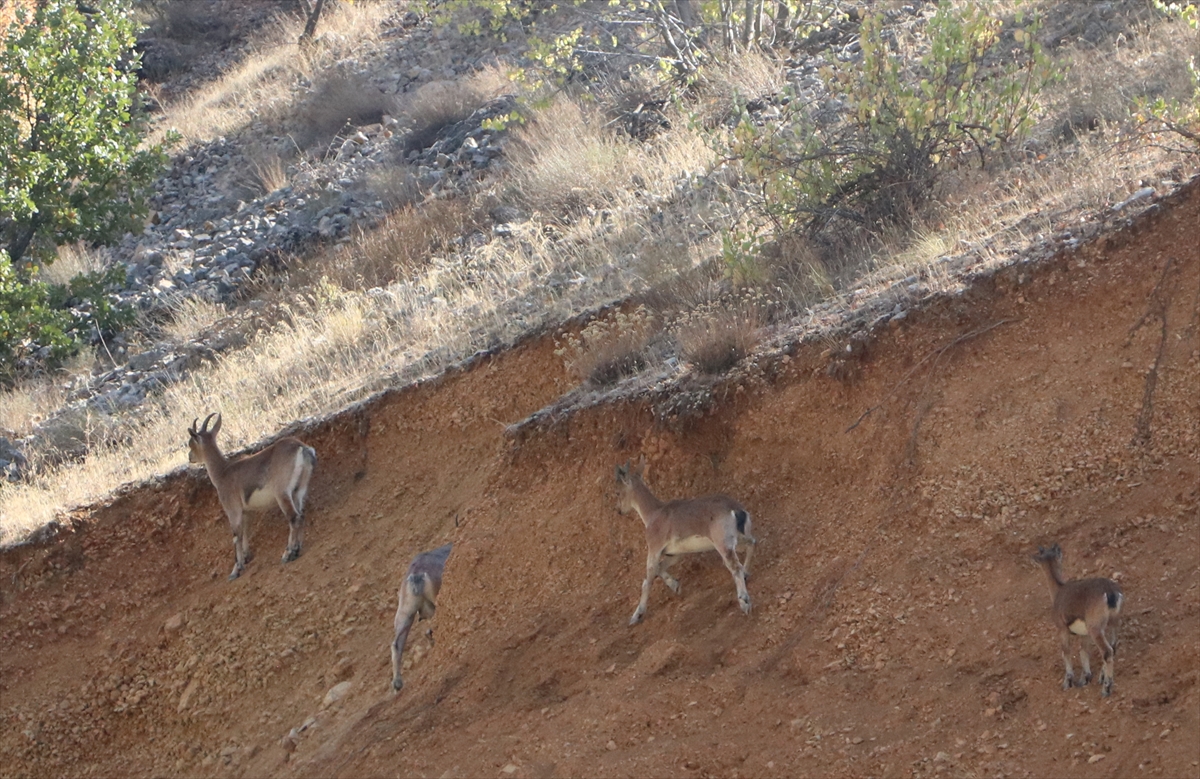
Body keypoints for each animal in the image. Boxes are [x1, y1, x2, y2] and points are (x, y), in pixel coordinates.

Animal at [187, 412, 319, 576]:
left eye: (191, 443)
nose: (190, 457)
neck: (223, 472)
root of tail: (301, 447)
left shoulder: (233, 510)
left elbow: (236, 535)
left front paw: (236, 569)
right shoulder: (246, 511)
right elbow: (245, 532)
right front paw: (246, 556)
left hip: (282, 493)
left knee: (294, 517)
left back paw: (288, 553)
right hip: (299, 490)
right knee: (301, 514)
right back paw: (297, 550)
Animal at [614, 456, 753, 624]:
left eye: (618, 492)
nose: (619, 510)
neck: (653, 514)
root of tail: (736, 510)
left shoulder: (654, 548)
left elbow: (648, 580)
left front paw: (636, 616)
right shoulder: (675, 553)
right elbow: (660, 568)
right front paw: (675, 585)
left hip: (723, 543)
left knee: (735, 567)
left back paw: (744, 602)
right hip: (739, 539)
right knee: (752, 544)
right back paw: (746, 574)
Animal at [1032, 544, 1123, 696]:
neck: (1058, 592)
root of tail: (1110, 593)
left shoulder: (1062, 628)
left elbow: (1066, 651)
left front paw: (1068, 682)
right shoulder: (1084, 634)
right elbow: (1083, 652)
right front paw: (1084, 679)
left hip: (1095, 628)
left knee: (1107, 651)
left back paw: (1106, 688)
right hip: (1112, 624)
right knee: (1112, 647)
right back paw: (1102, 678)